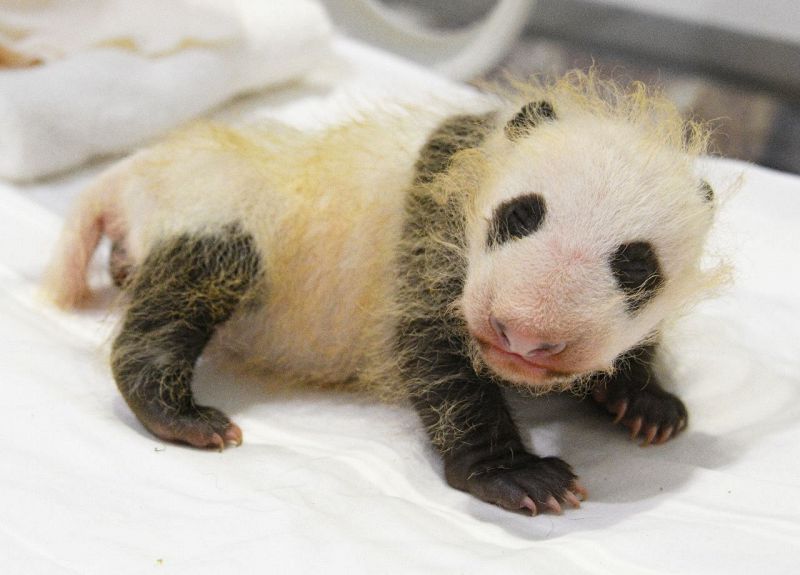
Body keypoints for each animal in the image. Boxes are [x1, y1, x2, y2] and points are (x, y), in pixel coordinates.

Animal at [43, 72, 720, 516]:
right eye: (520, 216)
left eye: (636, 268)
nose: (525, 333)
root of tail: (132, 171)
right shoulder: (431, 218)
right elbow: (433, 349)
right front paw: (521, 475)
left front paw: (648, 402)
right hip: (216, 200)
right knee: (192, 283)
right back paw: (179, 413)